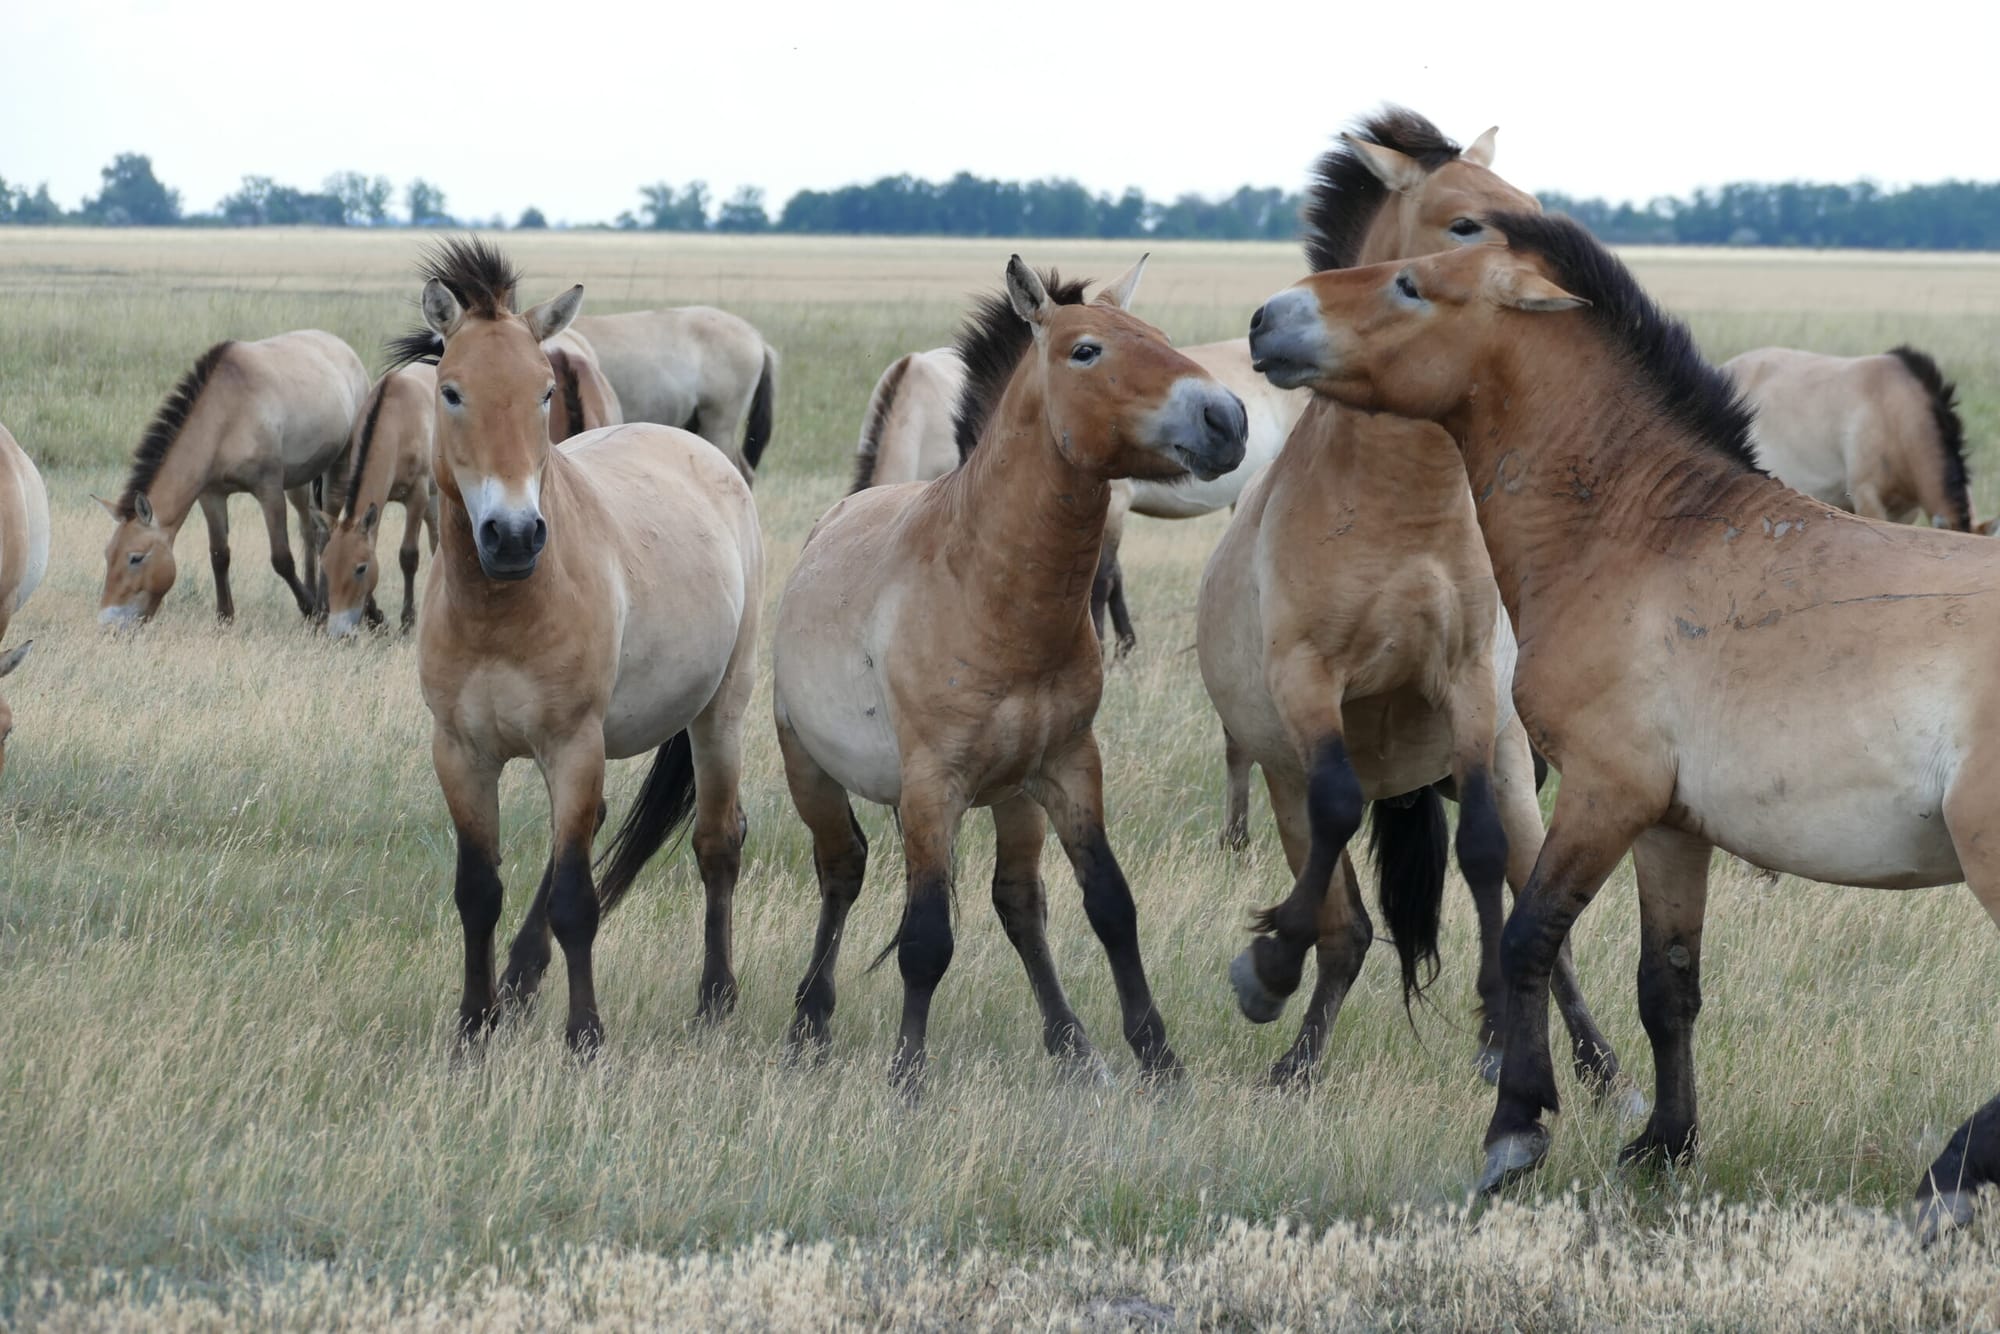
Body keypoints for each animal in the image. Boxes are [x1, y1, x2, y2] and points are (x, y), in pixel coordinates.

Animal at [95, 330, 368, 626]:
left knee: (326, 532)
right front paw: (224, 617)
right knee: (309, 530)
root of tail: (344, 348)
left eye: (135, 558)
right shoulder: (211, 495)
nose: (108, 623)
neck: (226, 416)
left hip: (338, 465)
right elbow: (219, 555)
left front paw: (310, 608)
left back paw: (325, 603)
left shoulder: (269, 489)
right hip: (300, 480)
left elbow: (281, 558)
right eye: (107, 554)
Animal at [309, 364, 441, 637]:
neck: (398, 420)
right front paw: (376, 618)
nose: (339, 634)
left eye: (360, 568)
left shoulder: (417, 495)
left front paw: (407, 621)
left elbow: (408, 556)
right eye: (326, 566)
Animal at [1203, 109, 1621, 1092]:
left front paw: (1500, 1032)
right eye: (1463, 225)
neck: (1402, 510)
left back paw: (1591, 1063)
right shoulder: (1309, 684)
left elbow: (1480, 856)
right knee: (1346, 925)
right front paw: (1264, 970)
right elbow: (1337, 830)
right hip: (1280, 780)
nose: (1557, 299)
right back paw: (1296, 1057)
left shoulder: (1464, 686)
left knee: (1535, 910)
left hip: (1509, 771)